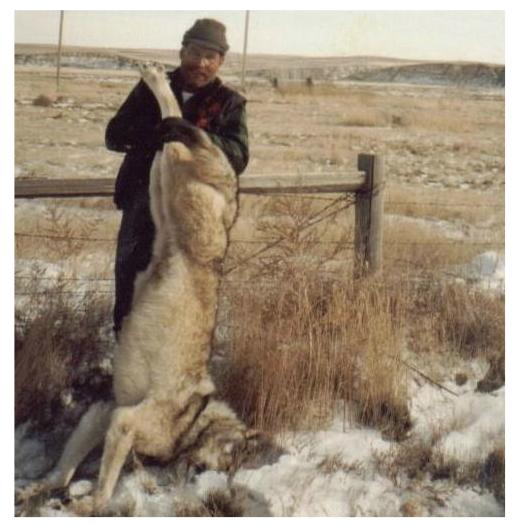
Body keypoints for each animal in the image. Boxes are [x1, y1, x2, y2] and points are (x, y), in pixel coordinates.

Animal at [18, 64, 252, 513]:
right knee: (177, 119)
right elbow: (102, 489)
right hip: (180, 189)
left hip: (161, 192)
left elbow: (62, 472)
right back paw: (156, 79)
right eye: (231, 459)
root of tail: (232, 191)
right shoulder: (123, 421)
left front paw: (35, 491)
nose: (208, 479)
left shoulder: (104, 413)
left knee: (167, 135)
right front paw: (85, 506)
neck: (194, 418)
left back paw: (153, 81)